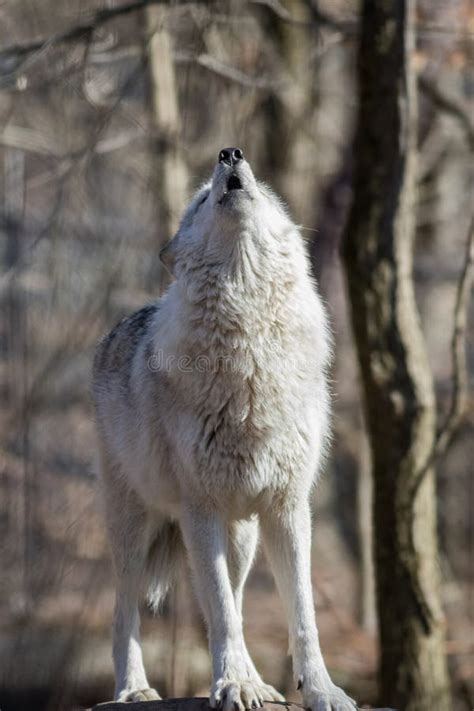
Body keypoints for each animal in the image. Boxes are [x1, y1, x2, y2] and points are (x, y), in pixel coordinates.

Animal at [92, 146, 358, 711]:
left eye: (265, 190)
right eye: (198, 200)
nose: (230, 153)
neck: (251, 349)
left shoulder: (288, 508)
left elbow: (302, 617)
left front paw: (320, 690)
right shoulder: (201, 510)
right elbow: (220, 614)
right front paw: (231, 683)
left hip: (243, 538)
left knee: (233, 598)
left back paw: (259, 682)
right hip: (135, 529)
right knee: (125, 612)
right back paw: (135, 689)